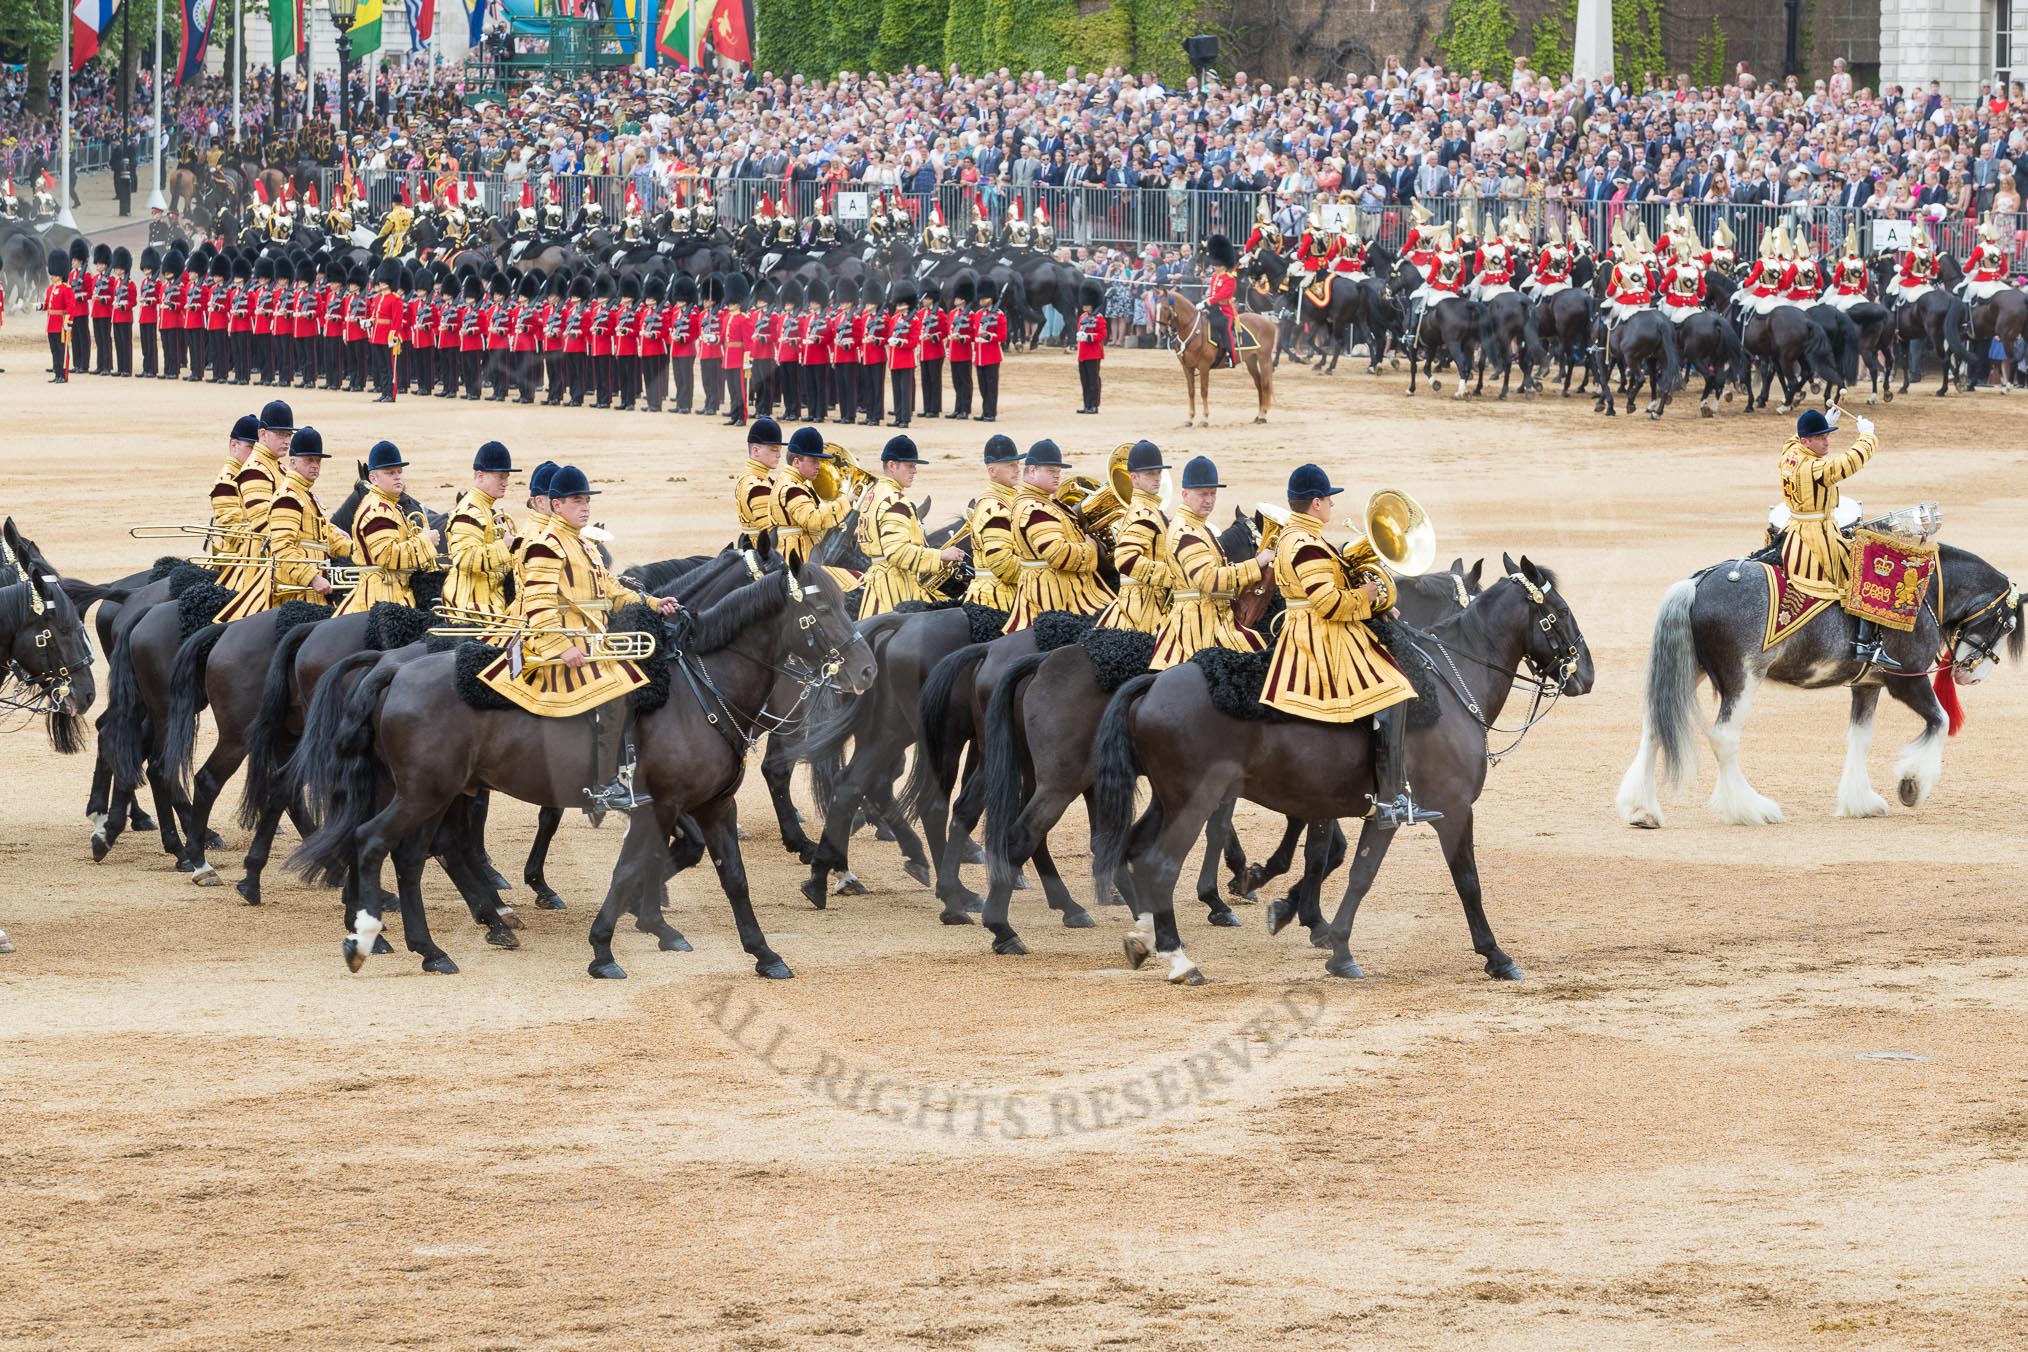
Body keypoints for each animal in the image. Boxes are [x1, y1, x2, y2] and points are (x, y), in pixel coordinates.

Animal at [1151, 291, 1273, 427]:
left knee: (1265, 384)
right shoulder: (1187, 367)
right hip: (1251, 360)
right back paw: (1258, 415)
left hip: (1264, 359)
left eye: (1165, 308)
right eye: (1156, 306)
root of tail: (1268, 322)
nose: (1161, 333)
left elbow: (1204, 391)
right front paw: (1190, 418)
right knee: (1259, 384)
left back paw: (1263, 415)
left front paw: (1204, 419)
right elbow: (1191, 391)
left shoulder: (1204, 366)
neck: (1194, 330)